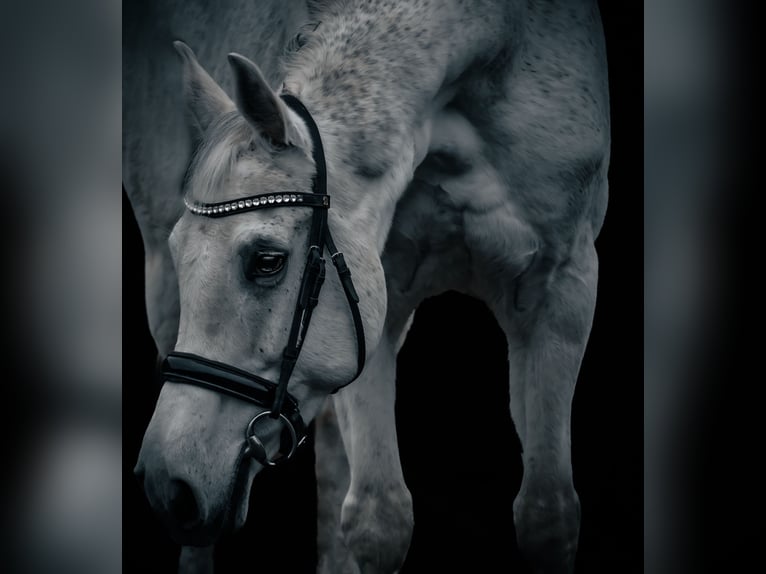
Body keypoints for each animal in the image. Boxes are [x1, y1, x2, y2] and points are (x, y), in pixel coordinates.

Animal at [125, 1, 610, 572]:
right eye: (182, 251)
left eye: (267, 261)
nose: (168, 484)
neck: (492, 48)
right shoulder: (378, 298)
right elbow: (381, 520)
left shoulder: (562, 291)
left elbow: (547, 514)